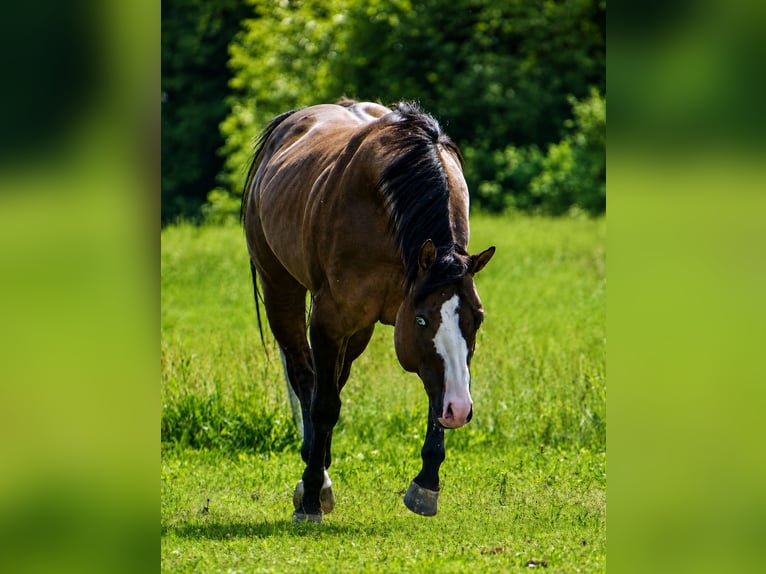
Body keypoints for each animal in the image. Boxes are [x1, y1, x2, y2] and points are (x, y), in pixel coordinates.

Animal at [241, 100, 495, 522]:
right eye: (423, 319)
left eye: (477, 319)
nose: (460, 409)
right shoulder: (330, 319)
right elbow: (323, 404)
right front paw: (311, 497)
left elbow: (433, 393)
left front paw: (426, 483)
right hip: (281, 291)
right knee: (305, 377)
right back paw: (317, 477)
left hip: (357, 330)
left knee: (335, 378)